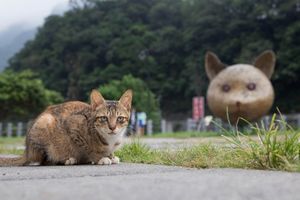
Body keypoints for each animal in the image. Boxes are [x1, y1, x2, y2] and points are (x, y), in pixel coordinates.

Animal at [0, 89, 132, 166]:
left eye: (120, 118)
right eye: (104, 118)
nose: (112, 127)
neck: (110, 140)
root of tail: (27, 152)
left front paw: (111, 156)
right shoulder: (73, 125)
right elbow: (88, 148)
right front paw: (99, 158)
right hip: (45, 122)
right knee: (45, 161)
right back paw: (67, 159)